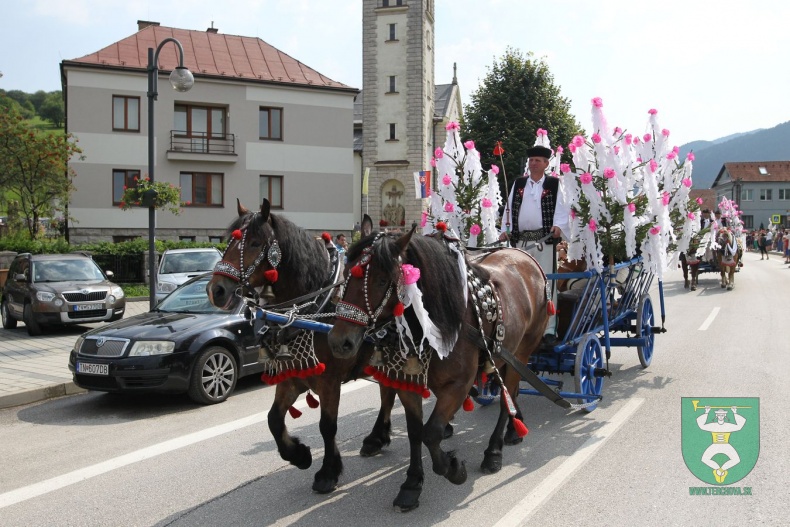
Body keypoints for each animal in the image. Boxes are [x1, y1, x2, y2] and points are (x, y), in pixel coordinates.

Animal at [204, 200, 392, 498]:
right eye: (229, 241)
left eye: (255, 243)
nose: (216, 290)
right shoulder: (291, 375)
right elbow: (273, 419)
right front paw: (299, 455)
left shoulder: (329, 380)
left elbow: (327, 426)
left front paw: (327, 472)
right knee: (388, 392)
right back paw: (377, 437)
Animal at [330, 227, 552, 512]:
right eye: (345, 275)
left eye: (381, 280)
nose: (340, 342)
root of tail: (525, 256)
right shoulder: (408, 382)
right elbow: (416, 432)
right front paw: (412, 483)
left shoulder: (458, 386)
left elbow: (432, 432)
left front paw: (453, 469)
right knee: (509, 393)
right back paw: (514, 428)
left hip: (522, 352)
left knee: (507, 397)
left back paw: (494, 451)